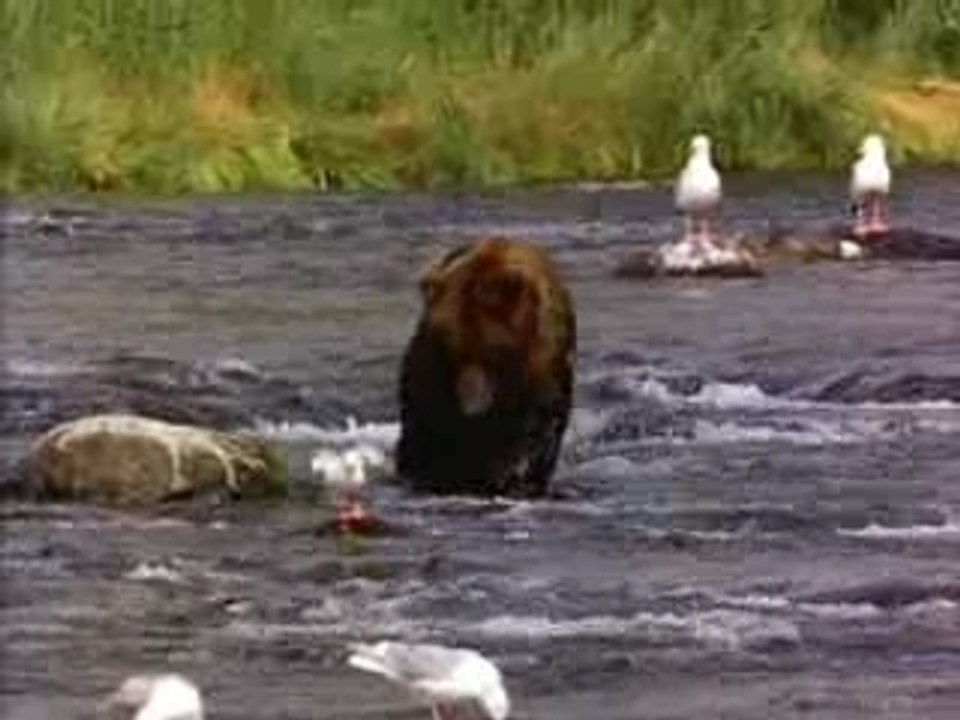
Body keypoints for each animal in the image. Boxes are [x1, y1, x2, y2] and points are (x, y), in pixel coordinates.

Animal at [396, 237, 577, 498]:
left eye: (489, 348)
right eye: (450, 346)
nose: (470, 408)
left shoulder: (545, 370)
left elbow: (536, 431)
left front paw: (511, 478)